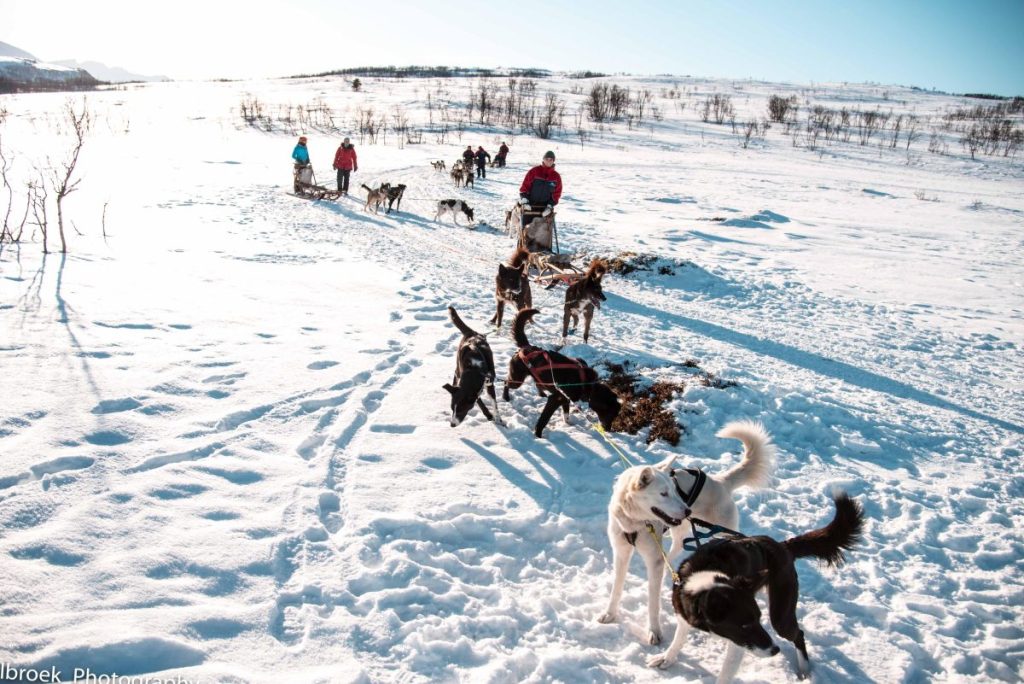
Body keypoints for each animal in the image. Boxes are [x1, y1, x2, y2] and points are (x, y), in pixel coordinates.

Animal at [501, 309, 618, 438]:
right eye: (612, 414)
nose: (609, 429)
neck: (589, 384)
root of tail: (526, 347)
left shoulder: (565, 399)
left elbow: (566, 413)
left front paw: (568, 424)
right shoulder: (556, 399)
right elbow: (544, 419)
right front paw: (538, 435)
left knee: (537, 384)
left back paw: (542, 394)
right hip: (517, 380)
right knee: (506, 382)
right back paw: (506, 397)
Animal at [598, 419, 770, 643]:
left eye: (674, 491)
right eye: (663, 494)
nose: (687, 510)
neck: (634, 522)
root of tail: (721, 482)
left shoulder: (652, 558)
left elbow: (653, 603)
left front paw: (654, 631)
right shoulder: (621, 552)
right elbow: (616, 589)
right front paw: (610, 613)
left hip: (724, 532)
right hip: (679, 532)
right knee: (673, 551)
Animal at [647, 493, 864, 679]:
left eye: (758, 619)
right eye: (744, 625)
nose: (775, 650)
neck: (706, 579)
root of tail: (783, 546)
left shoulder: (739, 645)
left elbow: (725, 675)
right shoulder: (685, 616)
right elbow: (677, 641)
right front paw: (667, 658)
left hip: (780, 614)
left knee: (798, 634)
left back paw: (804, 670)